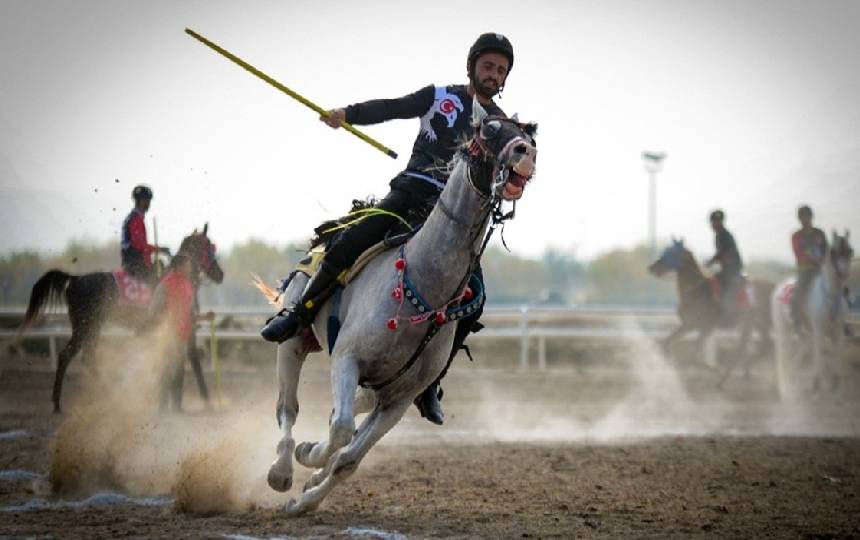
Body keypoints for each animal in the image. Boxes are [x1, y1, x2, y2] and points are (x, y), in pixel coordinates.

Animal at [22, 226, 225, 412]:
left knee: (78, 356)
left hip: (87, 327)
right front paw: (207, 400)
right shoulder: (186, 329)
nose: (220, 274)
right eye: (208, 247)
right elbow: (194, 362)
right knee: (76, 356)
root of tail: (75, 279)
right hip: (87, 326)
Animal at [648, 239, 776, 384]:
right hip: (759, 324)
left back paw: (726, 378)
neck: (696, 290)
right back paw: (744, 371)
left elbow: (689, 355)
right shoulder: (698, 327)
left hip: (751, 323)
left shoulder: (695, 325)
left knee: (747, 348)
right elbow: (671, 345)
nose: (652, 268)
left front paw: (712, 369)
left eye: (671, 251)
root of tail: (774, 287)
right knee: (765, 345)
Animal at [772, 230, 852, 398]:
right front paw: (817, 384)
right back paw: (784, 386)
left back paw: (794, 379)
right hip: (782, 328)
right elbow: (820, 355)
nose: (844, 273)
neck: (830, 296)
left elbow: (837, 356)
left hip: (804, 334)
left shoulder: (837, 331)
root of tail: (780, 286)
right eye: (833, 252)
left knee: (798, 354)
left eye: (850, 250)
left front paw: (836, 385)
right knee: (783, 353)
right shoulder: (819, 330)